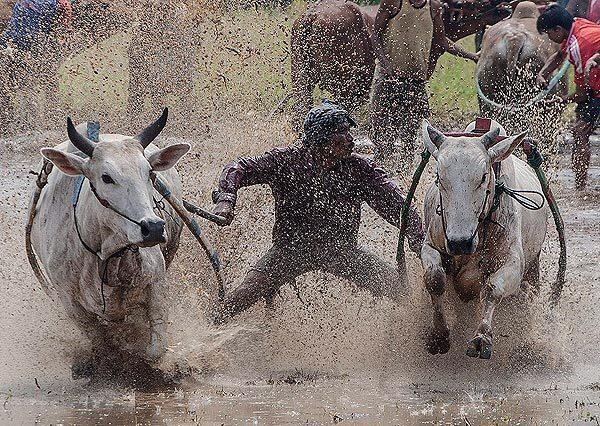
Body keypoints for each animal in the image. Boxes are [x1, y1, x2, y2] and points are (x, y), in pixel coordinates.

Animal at [29, 110, 190, 376]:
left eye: (150, 173)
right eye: (106, 177)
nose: (153, 228)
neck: (105, 252)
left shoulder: (156, 283)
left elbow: (156, 347)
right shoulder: (69, 302)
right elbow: (100, 341)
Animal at [422, 120, 548, 360]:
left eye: (482, 177)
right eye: (439, 177)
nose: (460, 242)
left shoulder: (514, 264)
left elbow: (491, 289)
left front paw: (482, 338)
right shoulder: (430, 245)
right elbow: (435, 279)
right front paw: (439, 336)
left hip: (533, 268)